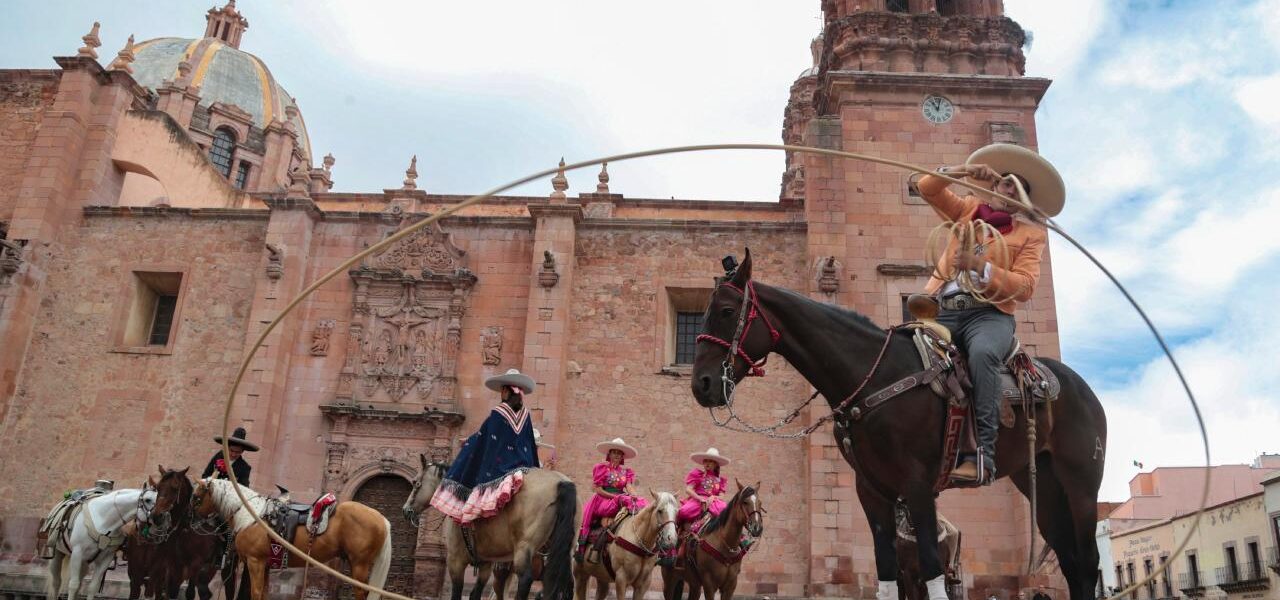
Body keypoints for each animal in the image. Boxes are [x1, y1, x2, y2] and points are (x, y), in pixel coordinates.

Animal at [186, 478, 391, 598]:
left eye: (195, 496)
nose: (190, 522)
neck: (252, 515)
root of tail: (381, 518)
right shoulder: (265, 565)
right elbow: (263, 593)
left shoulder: (255, 562)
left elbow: (256, 592)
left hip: (359, 564)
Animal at [401, 450, 578, 598]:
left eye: (415, 482)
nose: (406, 510)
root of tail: (561, 482)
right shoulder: (486, 564)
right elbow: (475, 594)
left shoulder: (455, 561)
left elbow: (457, 593)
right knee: (568, 584)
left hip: (524, 549)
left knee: (525, 580)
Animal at [696, 250, 1105, 598]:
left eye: (727, 311)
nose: (702, 383)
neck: (875, 376)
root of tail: (1079, 386)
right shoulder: (871, 492)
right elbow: (887, 576)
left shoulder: (919, 486)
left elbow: (933, 576)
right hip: (1042, 486)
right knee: (1070, 562)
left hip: (1082, 483)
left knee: (1087, 563)